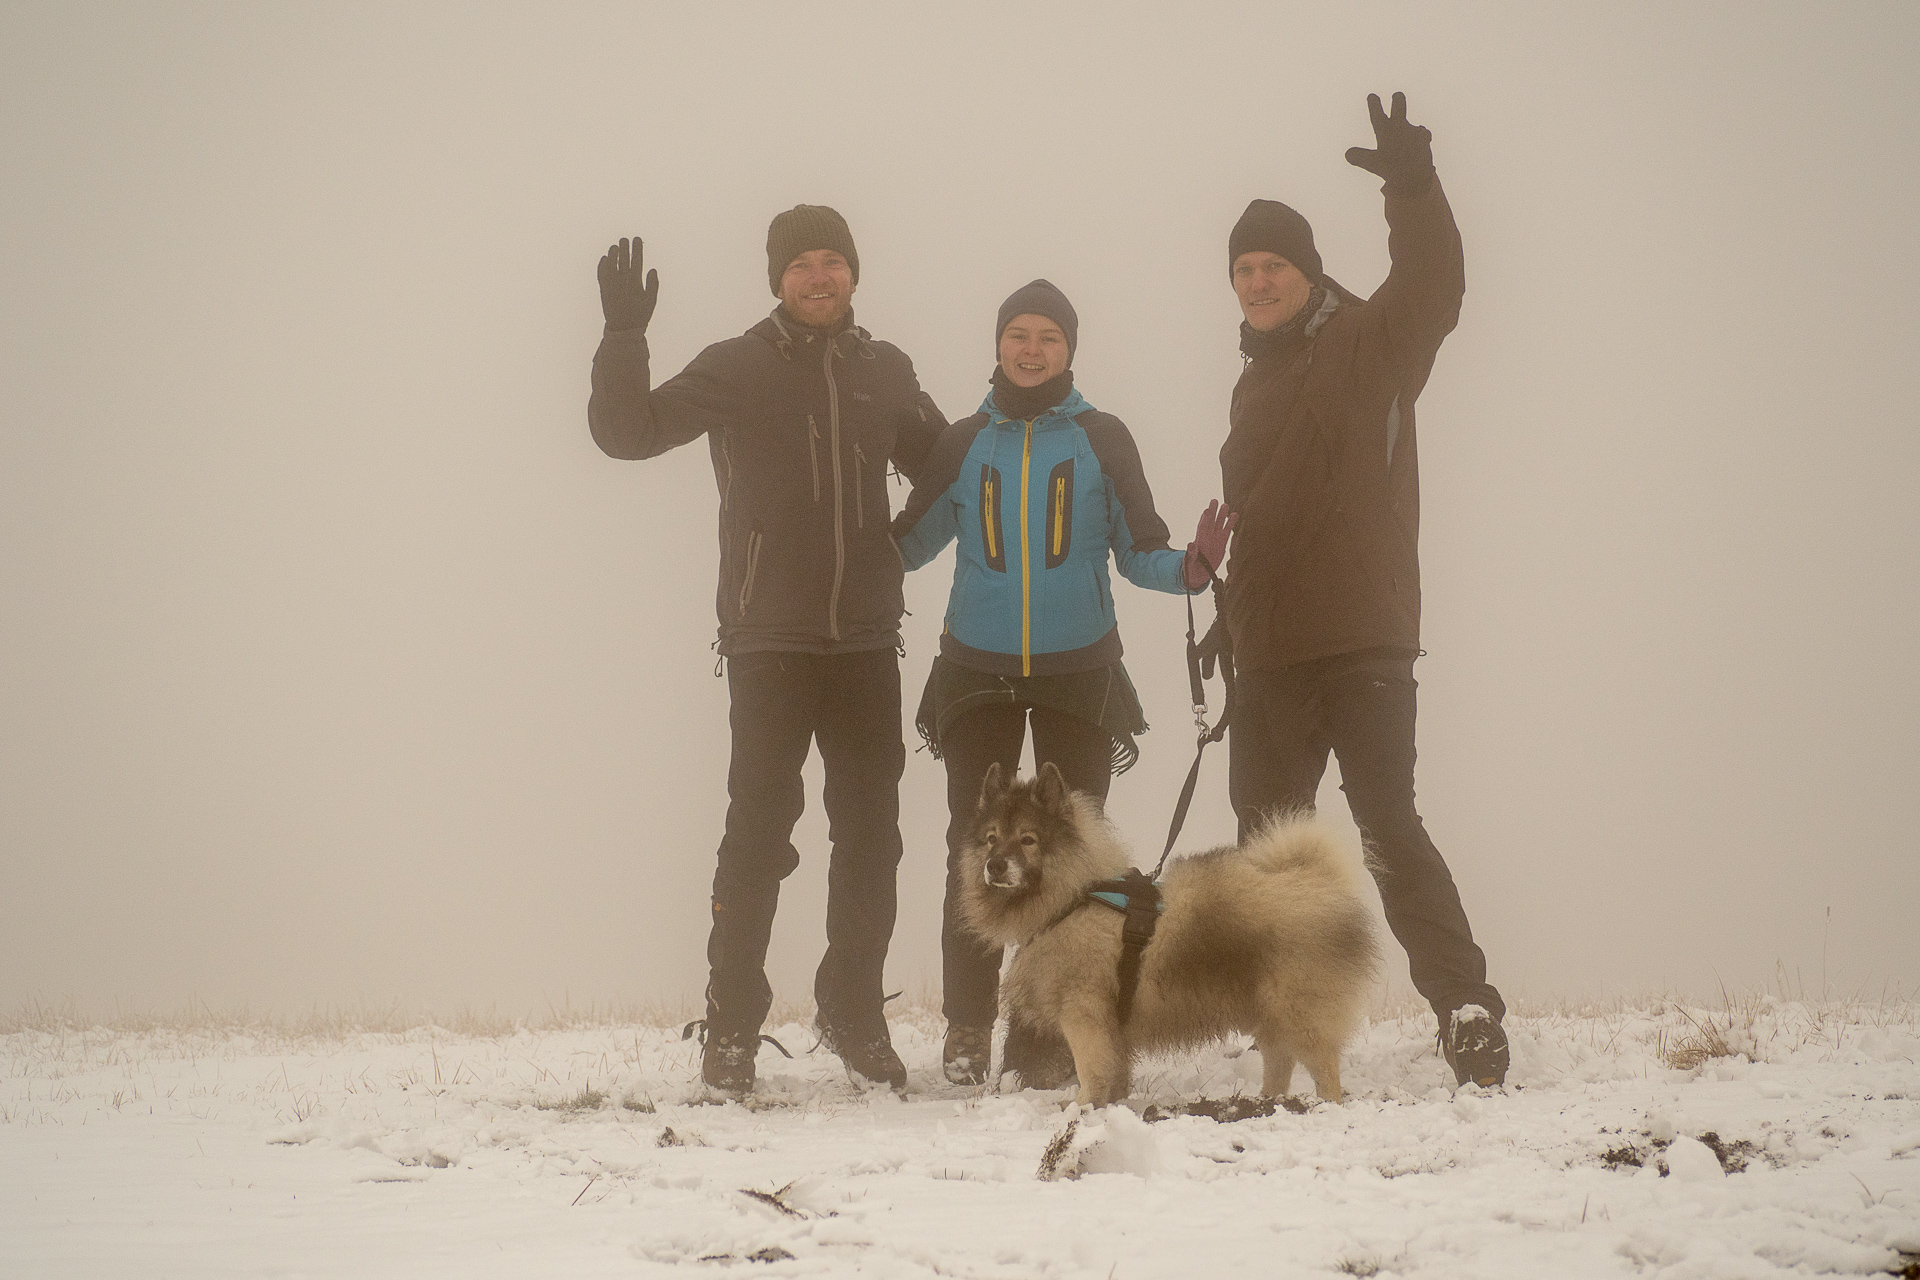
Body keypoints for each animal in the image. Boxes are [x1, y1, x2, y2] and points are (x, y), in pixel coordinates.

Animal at [960, 767, 1382, 1105]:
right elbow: (1115, 1072)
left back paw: (1322, 1107)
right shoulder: (1113, 1028)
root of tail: (1316, 880)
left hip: (1300, 1013)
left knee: (1323, 1070)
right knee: (1279, 1062)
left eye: (1028, 839)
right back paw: (1266, 1101)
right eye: (992, 838)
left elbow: (1092, 1070)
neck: (1075, 897)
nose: (995, 865)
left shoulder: (1084, 1016)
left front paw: (1080, 1109)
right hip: (1270, 1012)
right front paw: (1110, 1105)